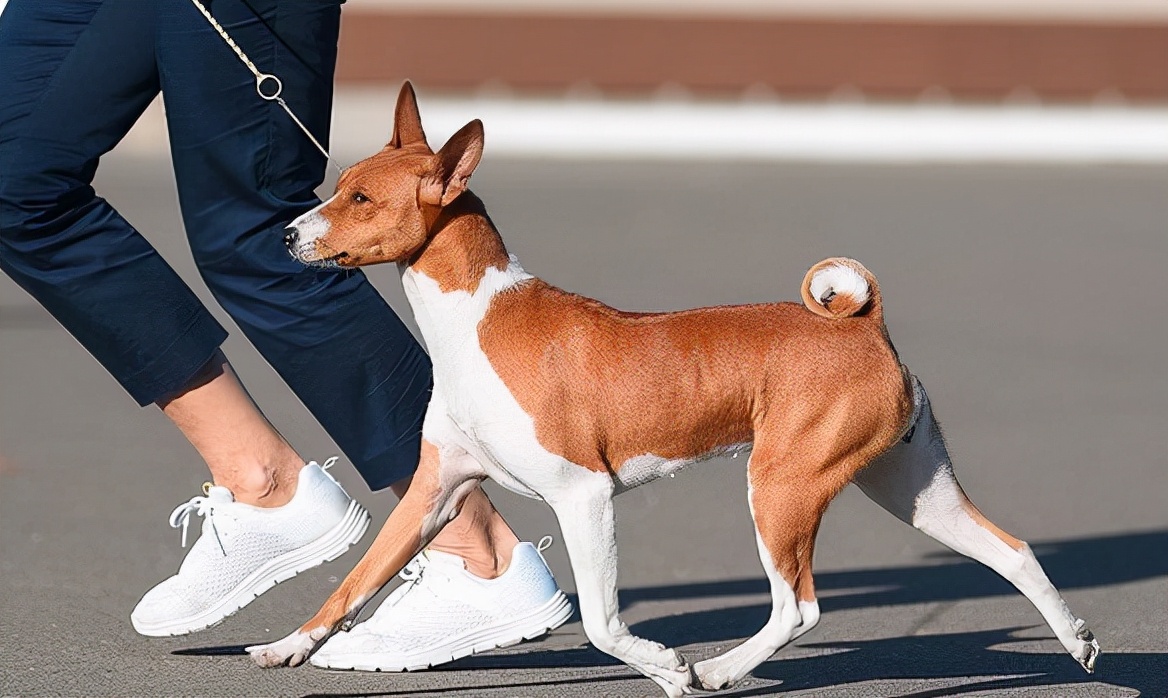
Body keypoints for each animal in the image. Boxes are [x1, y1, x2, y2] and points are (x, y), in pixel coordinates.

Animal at [246, 83, 1093, 698]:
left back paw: (718, 669)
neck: (475, 319)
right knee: (1012, 552)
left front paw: (667, 666)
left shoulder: (583, 495)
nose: (284, 234)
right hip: (910, 489)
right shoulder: (434, 490)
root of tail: (864, 326)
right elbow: (352, 585)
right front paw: (287, 646)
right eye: (337, 188)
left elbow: (600, 624)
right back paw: (1079, 641)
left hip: (781, 486)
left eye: (360, 200)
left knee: (799, 605)